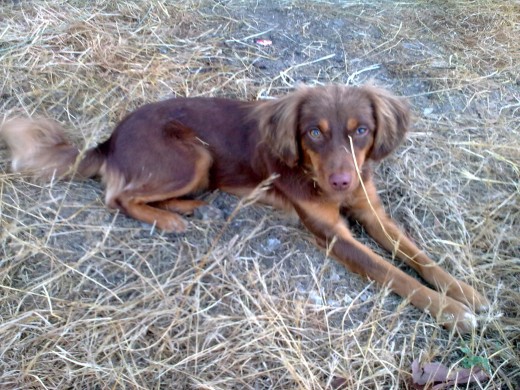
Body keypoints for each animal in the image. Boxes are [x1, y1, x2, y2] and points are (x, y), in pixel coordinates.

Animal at [1, 84, 488, 332]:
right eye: (313, 132)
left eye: (362, 130)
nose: (341, 182)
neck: (316, 176)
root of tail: (110, 139)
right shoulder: (332, 234)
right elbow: (392, 273)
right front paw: (452, 313)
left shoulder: (370, 211)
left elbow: (416, 254)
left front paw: (463, 291)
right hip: (193, 155)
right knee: (118, 196)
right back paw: (168, 218)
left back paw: (186, 206)